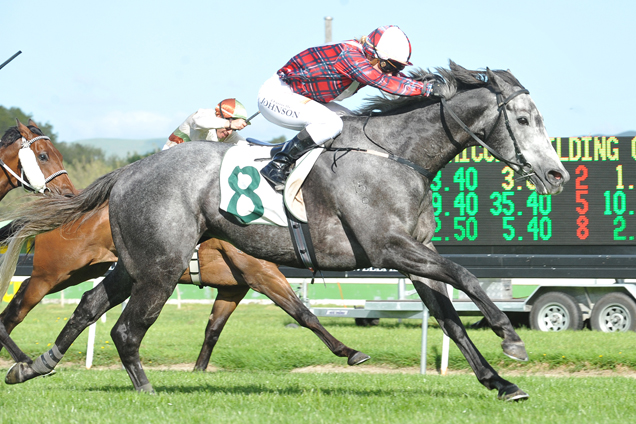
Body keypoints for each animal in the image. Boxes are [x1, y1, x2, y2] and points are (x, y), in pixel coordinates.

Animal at [1, 205, 368, 368]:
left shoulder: (234, 287)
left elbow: (213, 330)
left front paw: (198, 371)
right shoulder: (261, 273)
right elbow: (305, 315)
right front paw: (349, 351)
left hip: (84, 271)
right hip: (53, 274)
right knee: (16, 309)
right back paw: (22, 357)